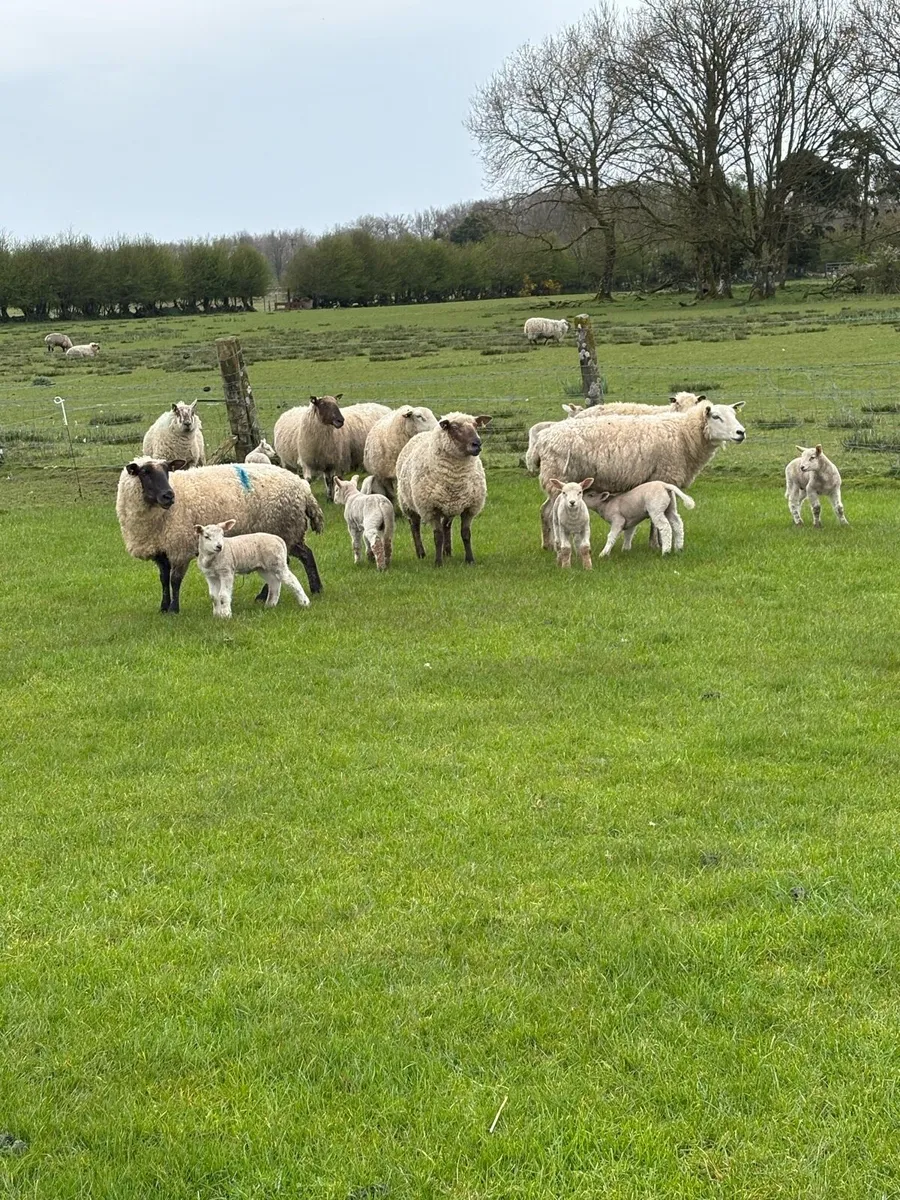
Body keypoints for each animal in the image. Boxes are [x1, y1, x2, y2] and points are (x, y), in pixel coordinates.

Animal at [116, 457, 324, 613]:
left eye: (168, 470)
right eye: (145, 472)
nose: (169, 495)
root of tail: (303, 487)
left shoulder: (180, 548)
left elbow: (175, 580)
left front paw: (174, 609)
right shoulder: (161, 549)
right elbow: (163, 579)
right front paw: (163, 607)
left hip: (285, 529)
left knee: (296, 559)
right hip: (288, 532)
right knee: (305, 554)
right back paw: (312, 589)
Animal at [396, 412, 491, 566]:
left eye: (476, 425)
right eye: (454, 427)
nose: (477, 444)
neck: (455, 477)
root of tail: (421, 434)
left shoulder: (469, 508)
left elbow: (466, 534)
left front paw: (470, 560)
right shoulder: (431, 509)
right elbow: (437, 536)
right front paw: (438, 563)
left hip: (450, 505)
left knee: (446, 525)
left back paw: (447, 551)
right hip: (407, 503)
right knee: (415, 527)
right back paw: (421, 553)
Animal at [536, 401, 745, 549]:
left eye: (734, 414)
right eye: (716, 416)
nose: (741, 432)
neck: (684, 435)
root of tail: (544, 438)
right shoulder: (664, 476)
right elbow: (656, 520)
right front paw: (656, 544)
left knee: (544, 510)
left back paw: (547, 544)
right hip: (559, 479)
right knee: (551, 513)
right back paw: (554, 545)